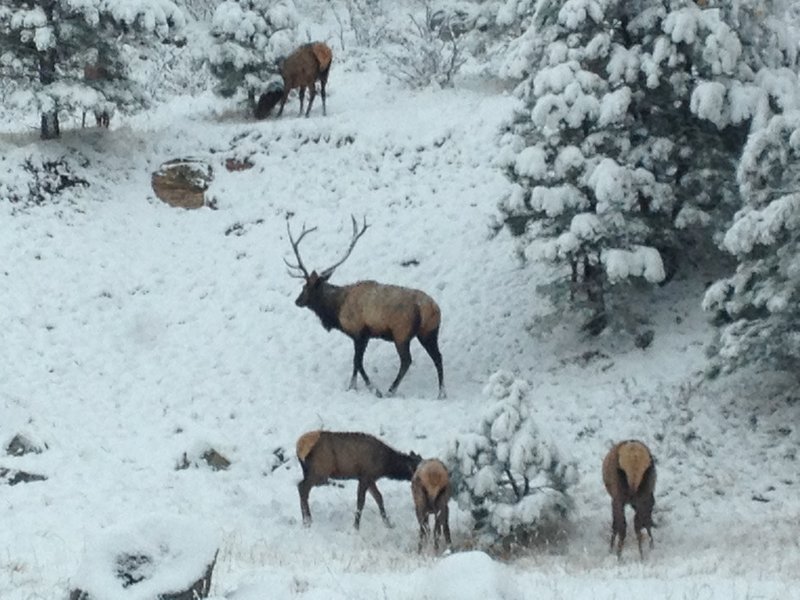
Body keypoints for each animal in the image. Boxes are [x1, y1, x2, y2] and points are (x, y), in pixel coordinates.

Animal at [284, 216, 446, 398]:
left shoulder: (359, 332)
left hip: (401, 333)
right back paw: (441, 393)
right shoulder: (365, 335)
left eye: (305, 287)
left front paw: (370, 388)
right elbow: (356, 363)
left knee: (407, 361)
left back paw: (390, 390)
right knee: (438, 357)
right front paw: (354, 386)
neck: (336, 309)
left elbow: (357, 362)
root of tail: (432, 309)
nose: (297, 301)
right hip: (429, 332)